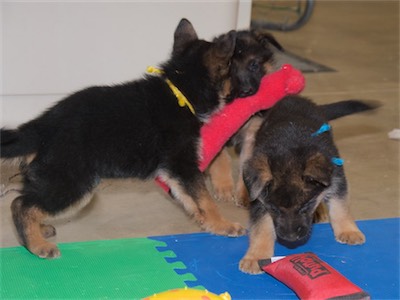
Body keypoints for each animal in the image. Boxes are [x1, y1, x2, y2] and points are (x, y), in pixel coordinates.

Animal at [0, 18, 245, 258]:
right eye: (231, 72)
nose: (245, 90)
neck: (180, 91)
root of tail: (41, 126)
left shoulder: (176, 172)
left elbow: (193, 199)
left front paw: (206, 222)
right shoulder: (182, 165)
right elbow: (205, 198)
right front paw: (223, 224)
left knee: (29, 200)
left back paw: (38, 231)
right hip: (73, 184)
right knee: (21, 205)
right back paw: (36, 245)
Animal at [238, 95, 378, 274]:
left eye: (306, 206)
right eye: (274, 209)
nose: (291, 238)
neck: (289, 151)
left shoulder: (337, 179)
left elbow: (340, 207)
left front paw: (348, 230)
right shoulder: (259, 200)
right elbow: (261, 228)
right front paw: (256, 256)